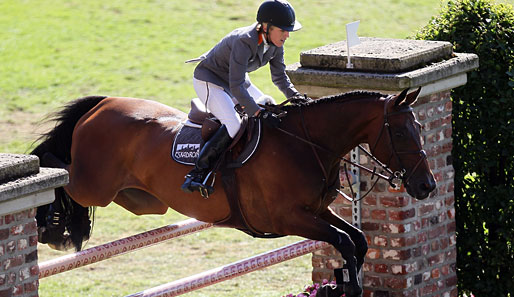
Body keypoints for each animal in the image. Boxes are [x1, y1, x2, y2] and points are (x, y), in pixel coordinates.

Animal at [32, 86, 432, 294]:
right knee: (57, 166)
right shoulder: (289, 218)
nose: (426, 186)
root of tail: (102, 104)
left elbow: (357, 240)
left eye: (420, 128)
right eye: (400, 132)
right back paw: (51, 222)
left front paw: (346, 281)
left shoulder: (318, 211)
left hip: (141, 200)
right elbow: (345, 242)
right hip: (93, 185)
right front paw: (348, 285)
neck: (306, 144)